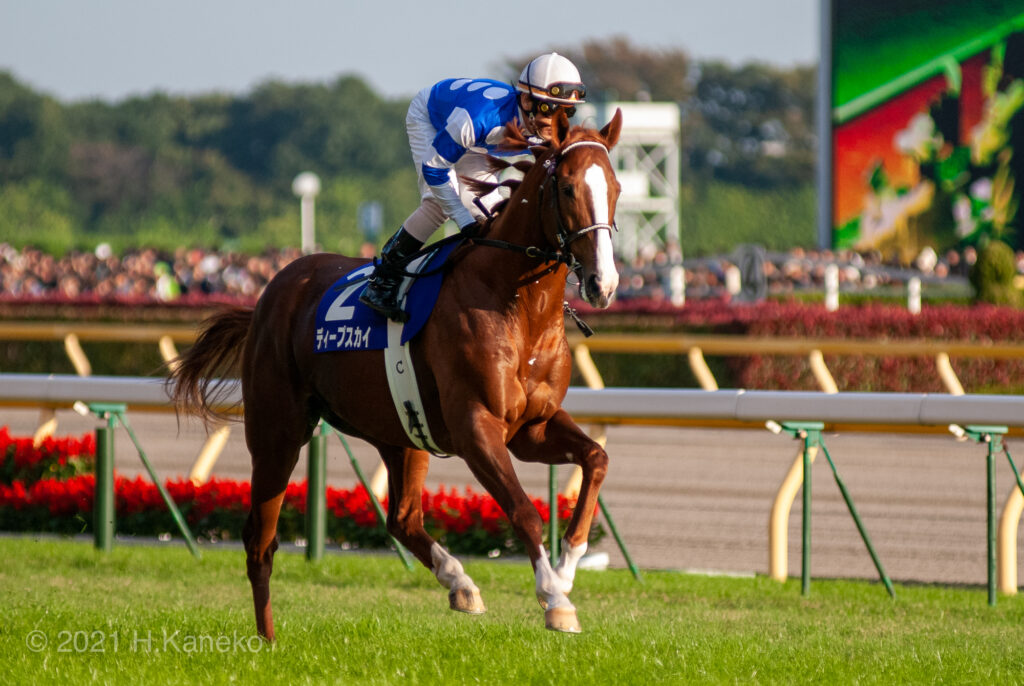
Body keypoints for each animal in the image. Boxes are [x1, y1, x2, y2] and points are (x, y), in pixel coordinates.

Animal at [169, 108, 623, 637]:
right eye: (568, 188)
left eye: (615, 186)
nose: (603, 283)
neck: (517, 304)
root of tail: (270, 293)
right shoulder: (476, 426)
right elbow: (523, 510)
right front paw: (554, 597)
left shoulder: (532, 426)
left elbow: (596, 459)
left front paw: (568, 565)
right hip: (277, 430)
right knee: (260, 540)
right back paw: (268, 638)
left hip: (401, 432)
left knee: (402, 518)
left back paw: (460, 583)